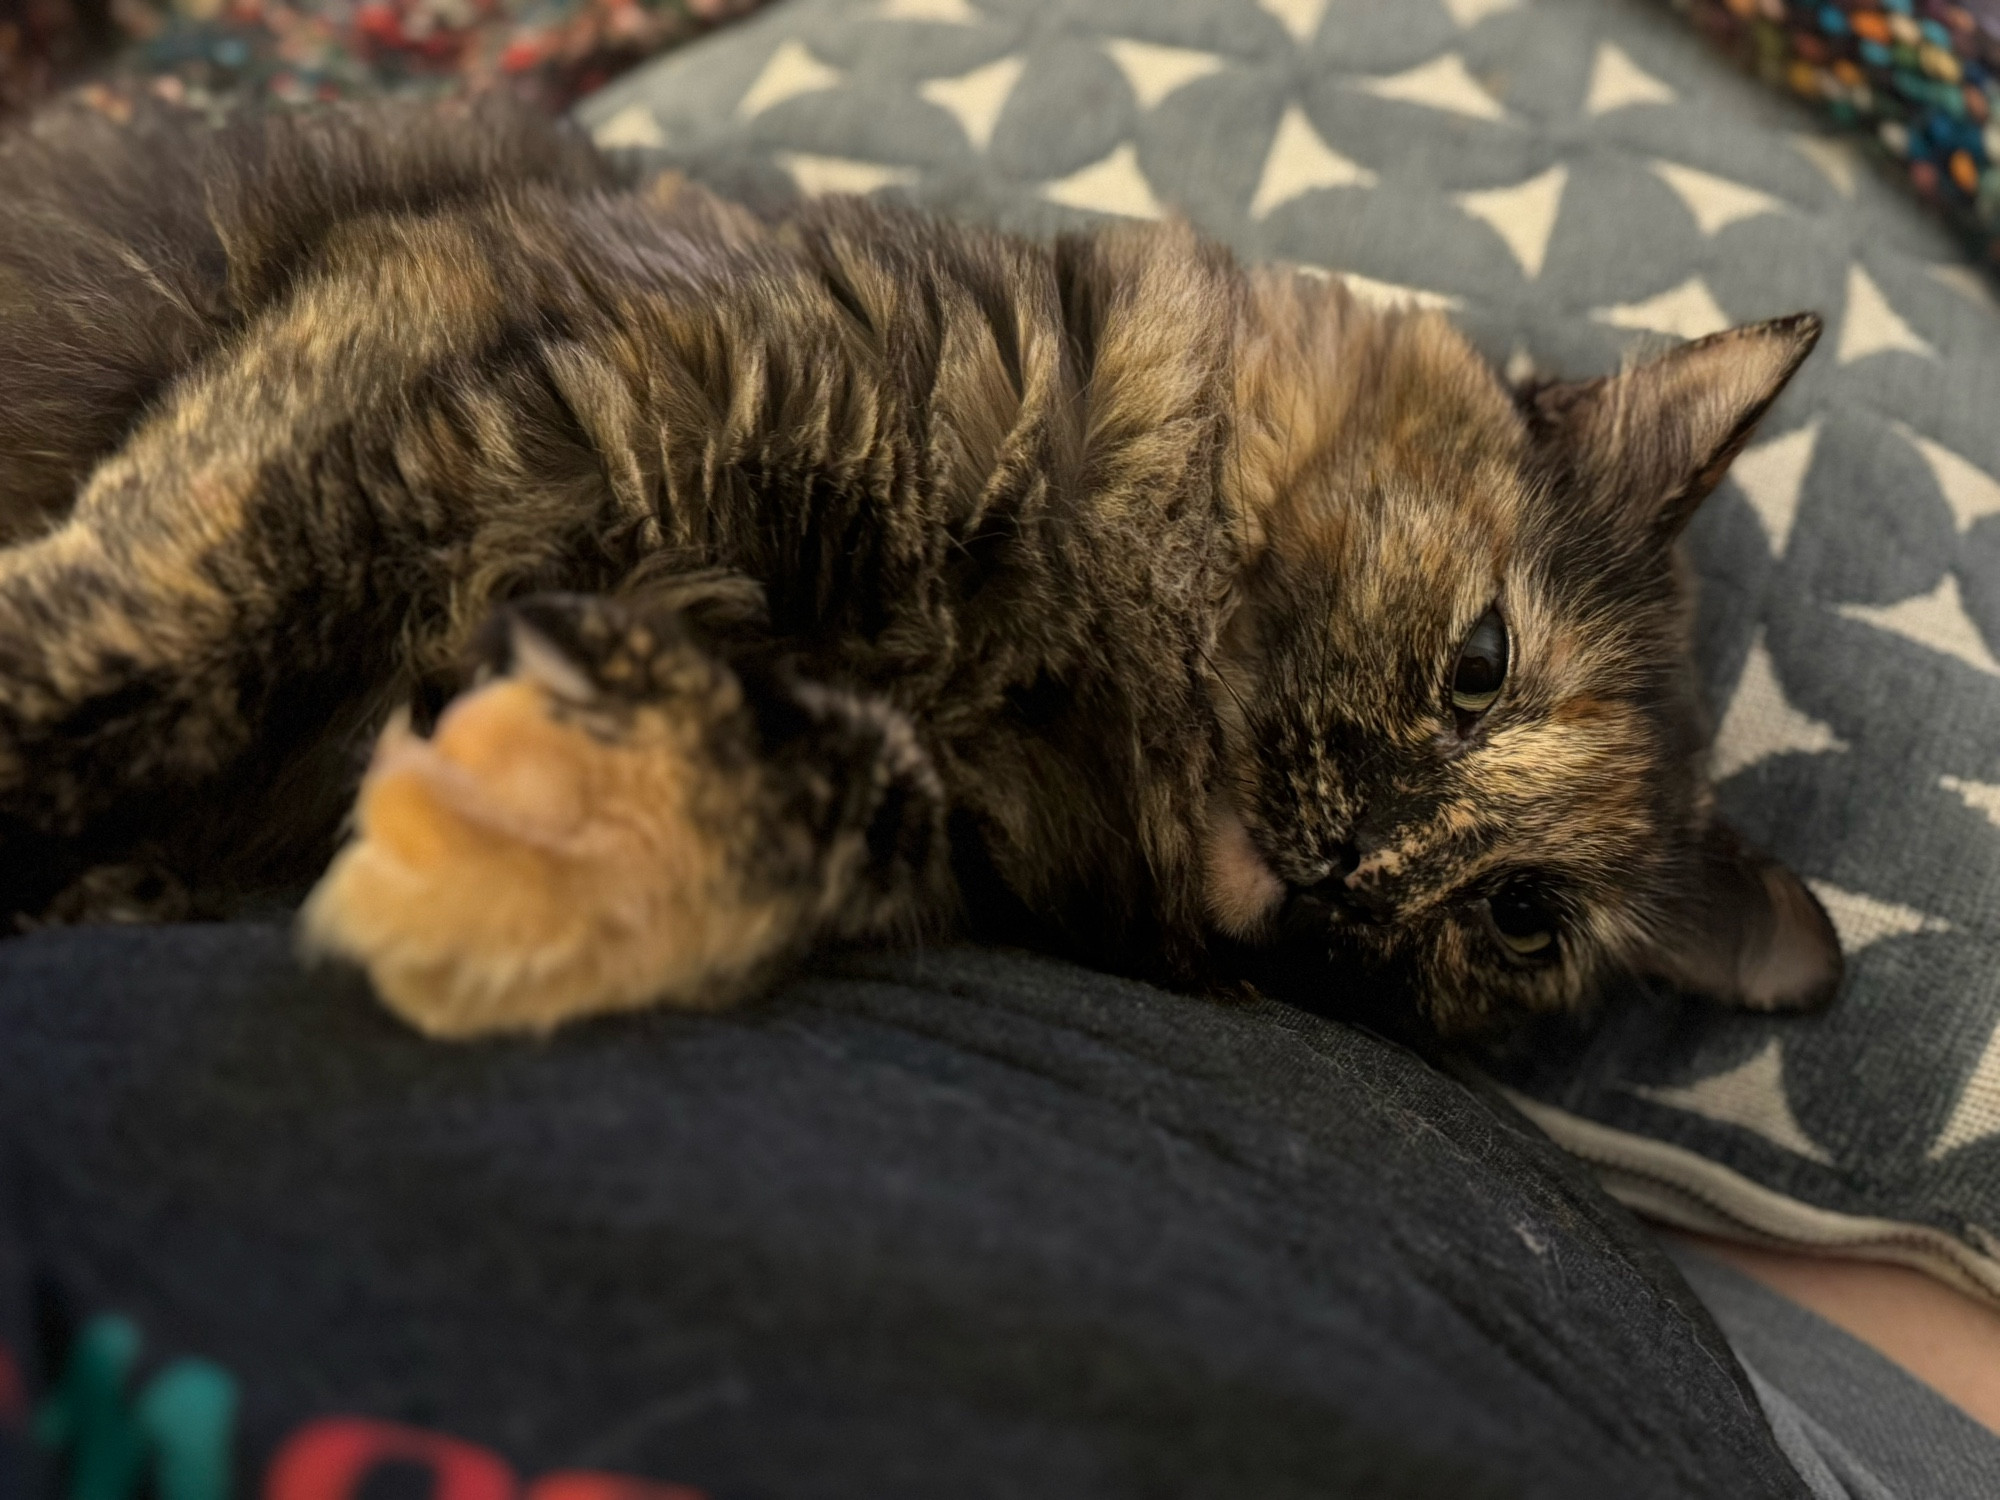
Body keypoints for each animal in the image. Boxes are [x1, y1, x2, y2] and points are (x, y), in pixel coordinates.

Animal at [0, 103, 1832, 1048]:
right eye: (1478, 665)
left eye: (1517, 919)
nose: (1357, 867)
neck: (989, 644)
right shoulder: (491, 336)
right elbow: (168, 596)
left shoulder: (901, 787)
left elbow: (796, 809)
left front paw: (515, 852)